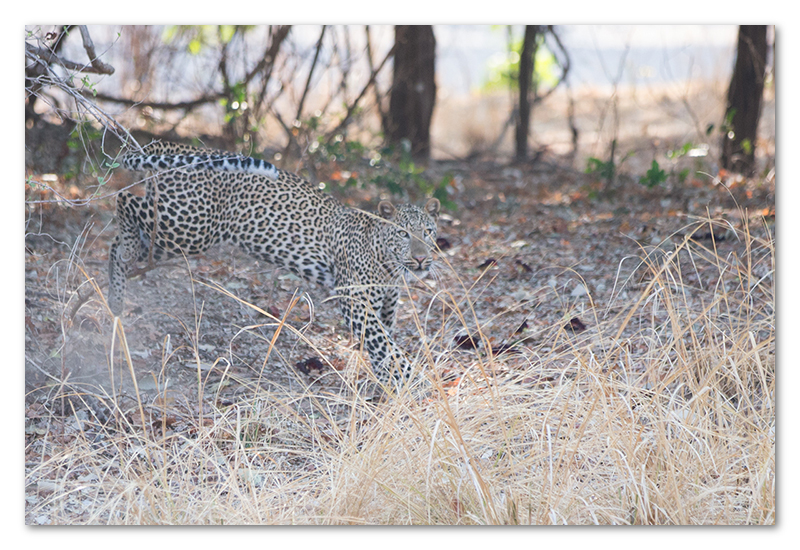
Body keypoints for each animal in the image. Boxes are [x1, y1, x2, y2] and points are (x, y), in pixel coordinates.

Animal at [107, 142, 440, 392]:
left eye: (428, 232)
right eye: (404, 234)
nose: (421, 258)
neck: (389, 265)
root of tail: (177, 145)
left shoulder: (385, 311)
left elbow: (383, 350)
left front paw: (391, 387)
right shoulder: (359, 309)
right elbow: (388, 348)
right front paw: (418, 382)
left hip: (173, 236)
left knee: (120, 241)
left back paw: (116, 295)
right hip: (188, 225)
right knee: (124, 200)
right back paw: (123, 265)